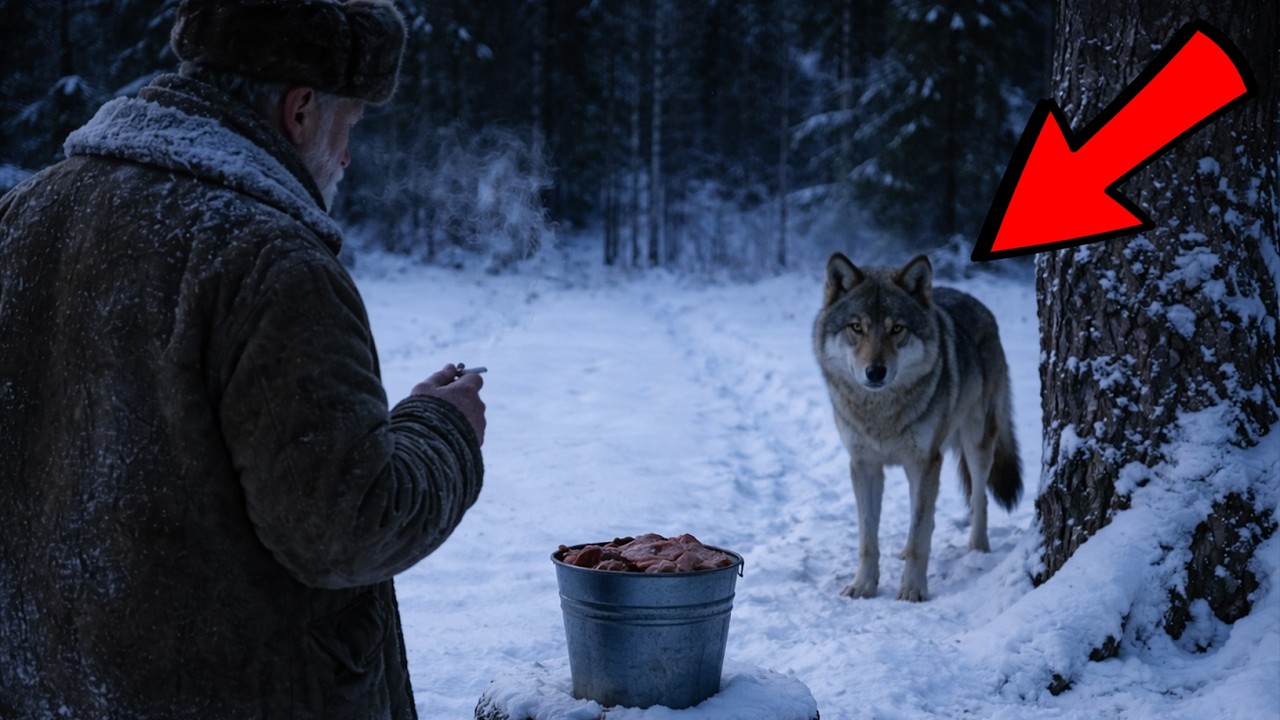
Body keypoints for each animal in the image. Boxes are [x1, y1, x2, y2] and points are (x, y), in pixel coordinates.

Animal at [813, 253, 1022, 601]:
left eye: (897, 329)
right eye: (857, 327)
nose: (875, 372)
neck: (880, 412)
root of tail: (979, 305)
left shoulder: (924, 462)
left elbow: (919, 535)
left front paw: (912, 589)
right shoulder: (864, 465)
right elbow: (869, 539)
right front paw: (863, 585)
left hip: (976, 443)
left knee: (978, 499)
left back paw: (978, 549)